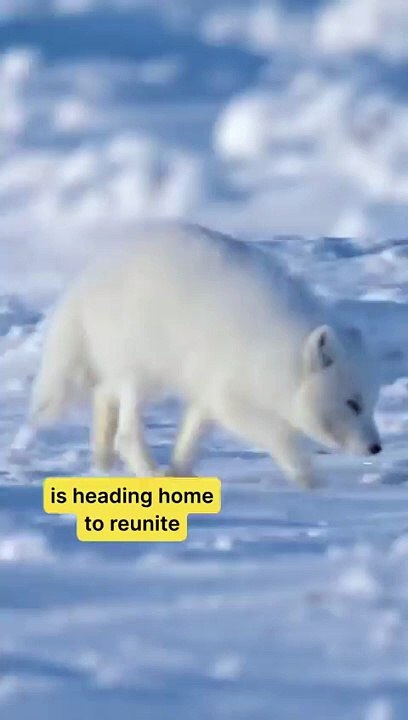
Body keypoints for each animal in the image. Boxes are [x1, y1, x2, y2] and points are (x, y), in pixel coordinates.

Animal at [28, 223, 382, 488]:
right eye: (353, 404)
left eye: (371, 404)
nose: (376, 448)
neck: (278, 355)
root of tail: (88, 278)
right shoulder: (231, 397)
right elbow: (278, 438)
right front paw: (312, 483)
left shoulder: (209, 393)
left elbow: (192, 435)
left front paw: (180, 471)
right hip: (142, 373)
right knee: (126, 432)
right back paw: (148, 472)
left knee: (104, 397)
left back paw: (103, 464)